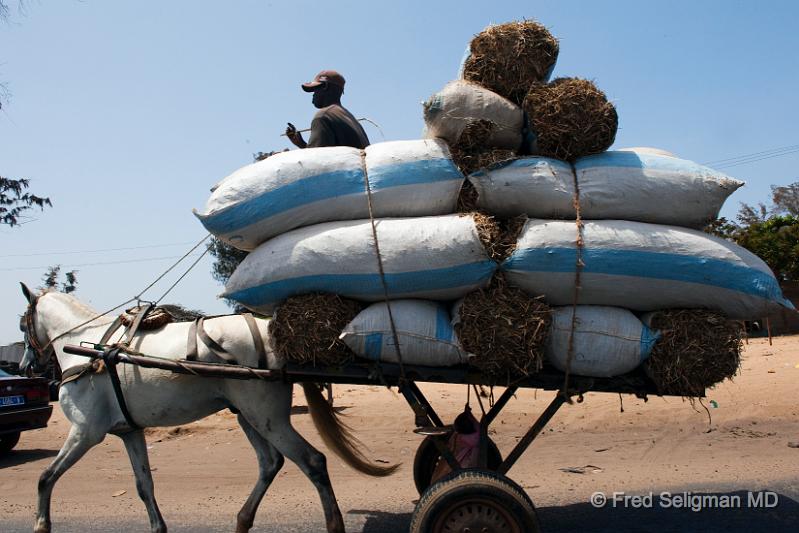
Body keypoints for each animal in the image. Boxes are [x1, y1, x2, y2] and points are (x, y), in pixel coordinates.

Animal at [18, 284, 394, 532]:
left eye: (23, 324)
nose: (25, 367)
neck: (90, 349)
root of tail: (271, 333)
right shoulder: (129, 432)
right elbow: (144, 486)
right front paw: (158, 527)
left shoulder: (85, 432)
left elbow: (45, 477)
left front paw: (41, 525)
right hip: (248, 415)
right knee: (270, 462)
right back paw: (243, 520)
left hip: (267, 417)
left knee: (312, 461)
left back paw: (333, 524)